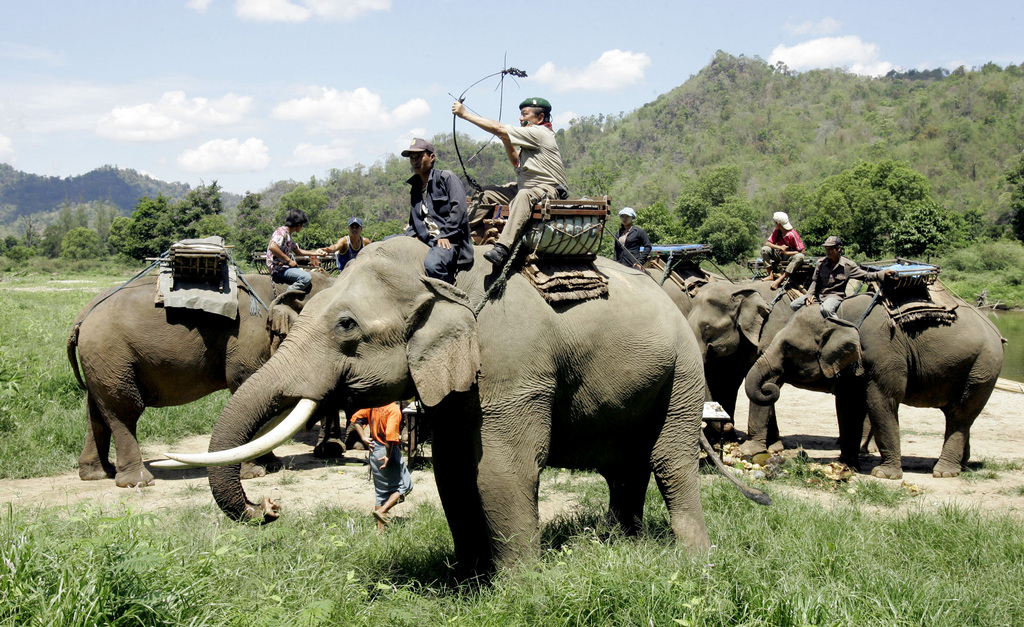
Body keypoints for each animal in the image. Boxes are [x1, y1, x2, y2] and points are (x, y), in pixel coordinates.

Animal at [65, 272, 335, 487]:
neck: (279, 286)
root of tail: (82, 317)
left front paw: (272, 465)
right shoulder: (249, 337)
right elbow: (245, 384)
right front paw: (255, 473)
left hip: (100, 363)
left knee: (96, 410)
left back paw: (97, 474)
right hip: (111, 354)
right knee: (124, 409)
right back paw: (137, 481)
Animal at [159, 236, 770, 577]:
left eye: (346, 326)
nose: (269, 507)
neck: (443, 272)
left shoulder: (514, 363)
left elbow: (500, 472)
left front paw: (520, 589)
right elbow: (454, 471)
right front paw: (469, 580)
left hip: (685, 372)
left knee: (669, 461)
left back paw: (694, 564)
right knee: (626, 468)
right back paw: (625, 546)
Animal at [741, 295, 1003, 479]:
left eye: (789, 348)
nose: (770, 389)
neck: (841, 315)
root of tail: (996, 332)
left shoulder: (884, 352)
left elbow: (880, 401)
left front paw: (884, 475)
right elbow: (848, 404)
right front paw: (845, 465)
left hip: (981, 368)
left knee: (961, 414)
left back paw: (944, 471)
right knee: (959, 416)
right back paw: (962, 465)